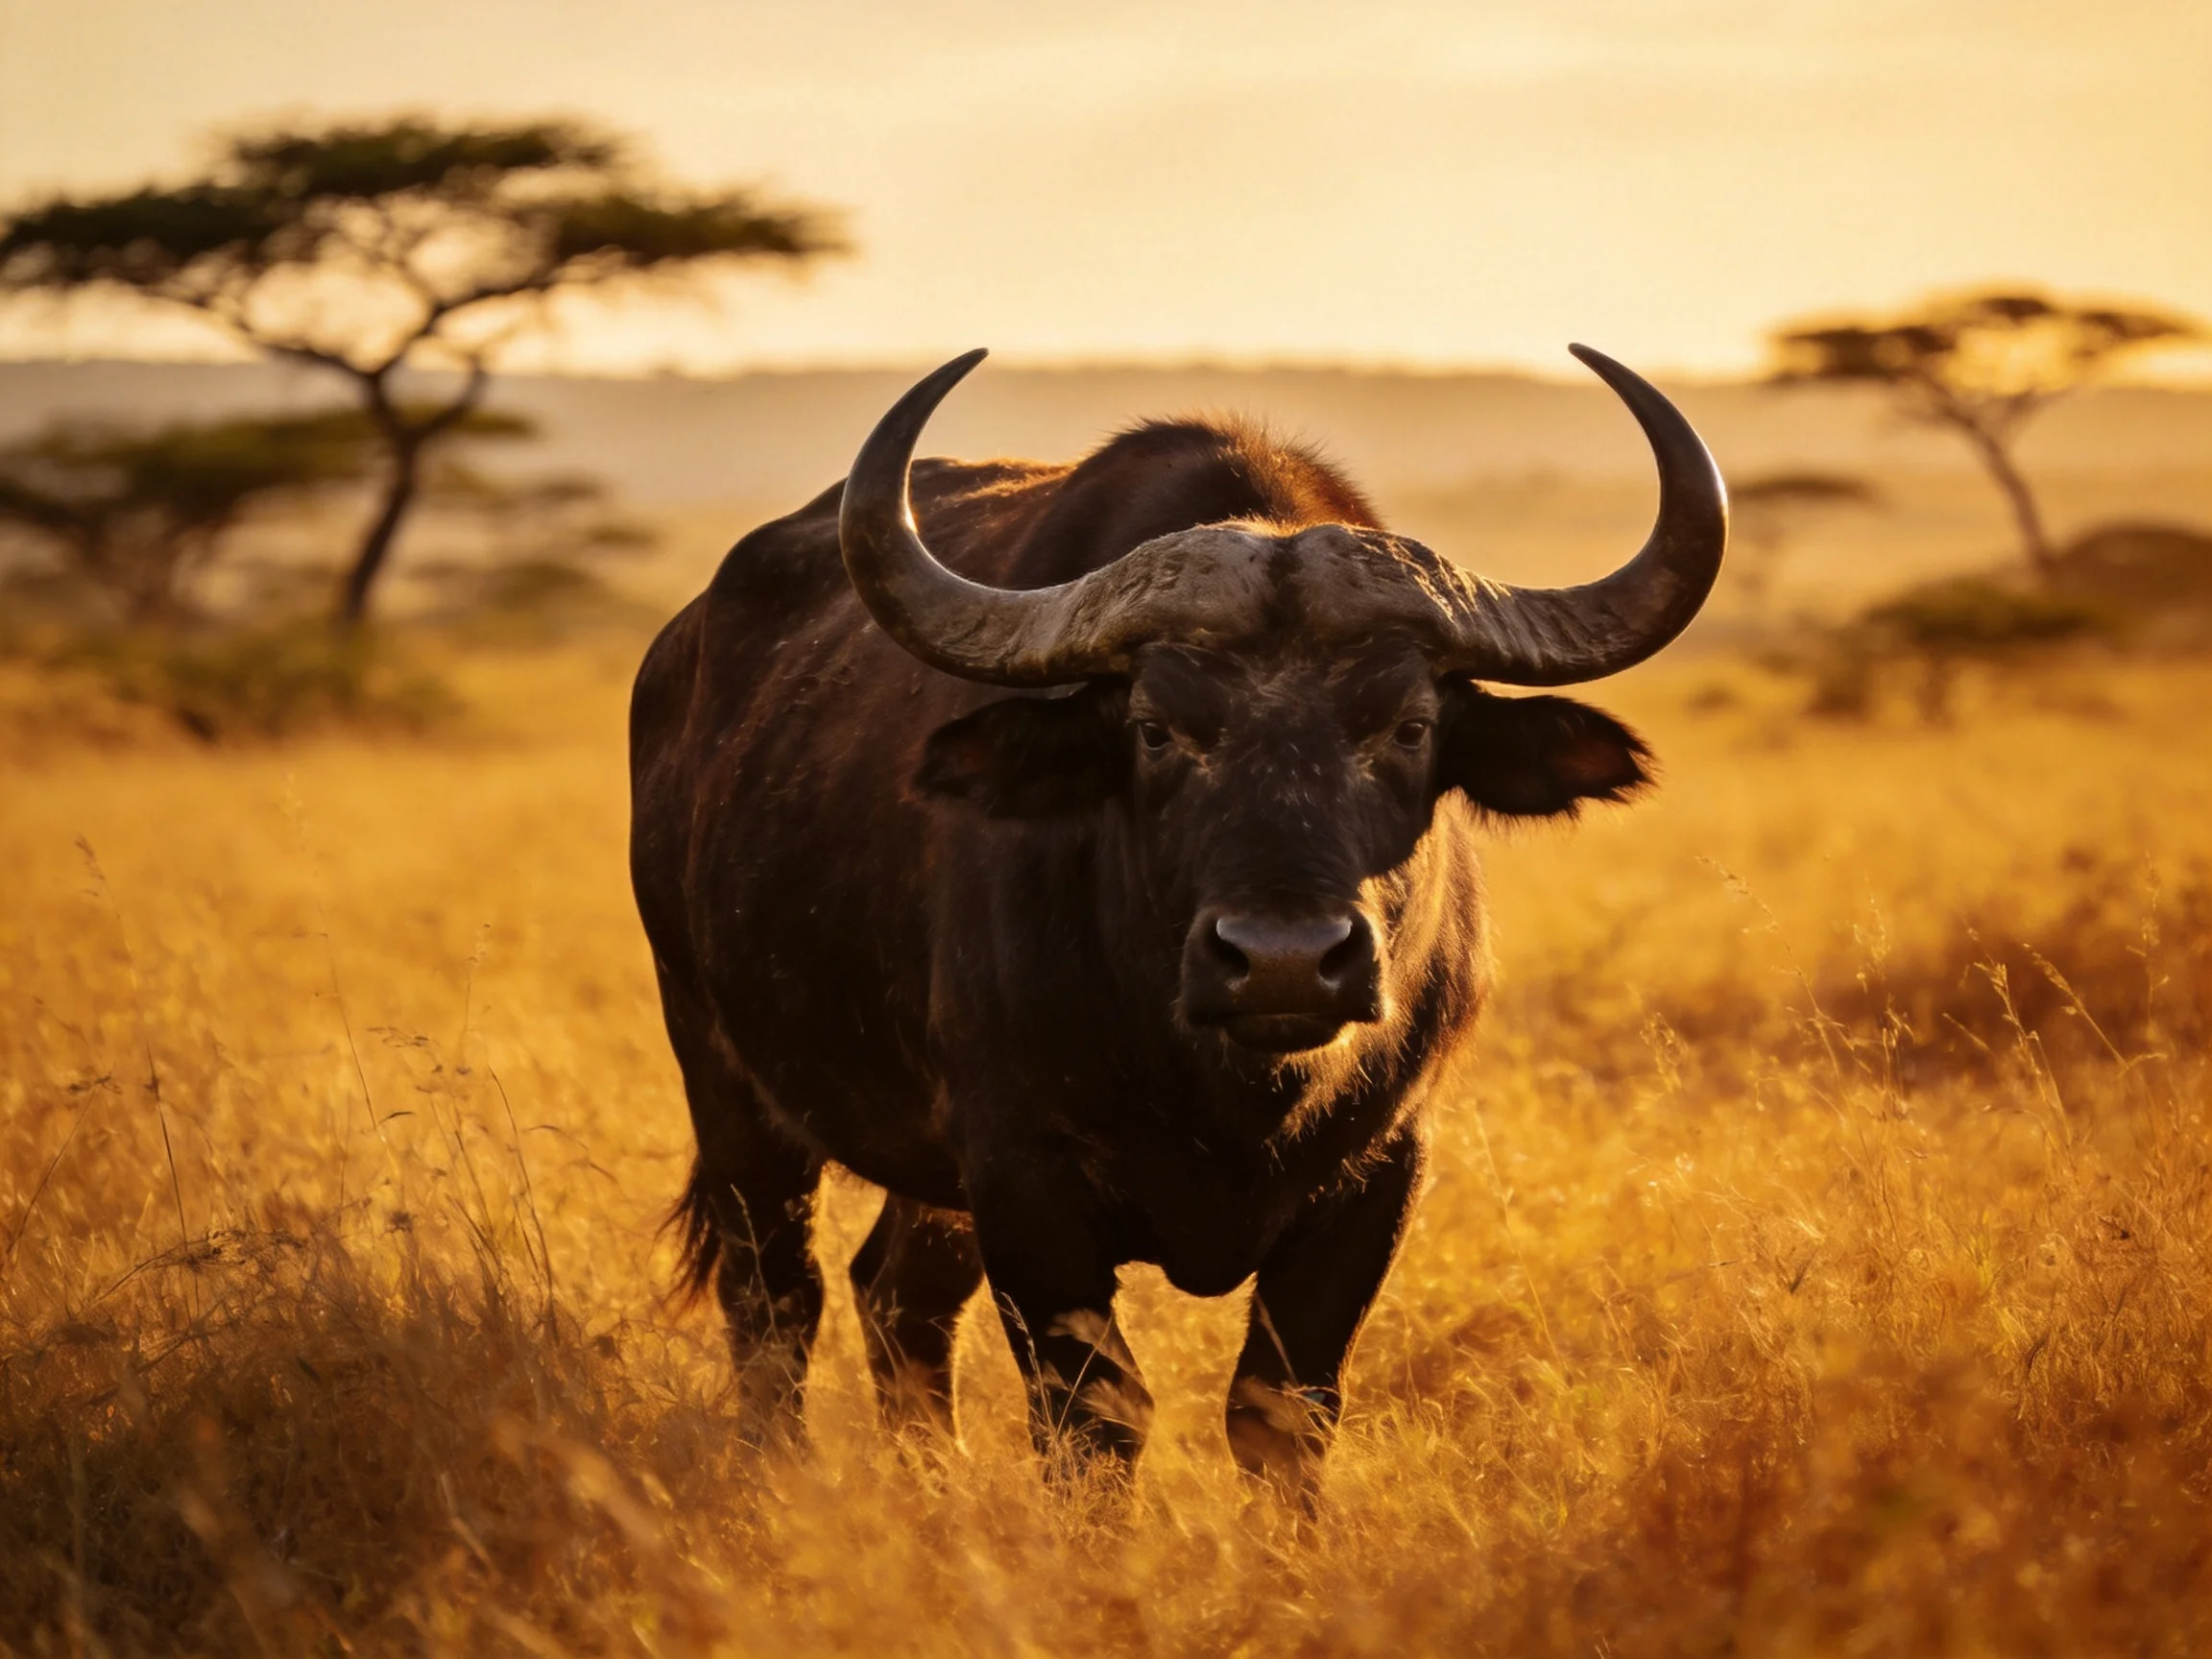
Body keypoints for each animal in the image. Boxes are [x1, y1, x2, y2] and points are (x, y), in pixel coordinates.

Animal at [629, 345, 1726, 1490]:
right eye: (1156, 729)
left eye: (1410, 726)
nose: (1285, 962)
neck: (1228, 1088)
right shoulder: (1025, 1181)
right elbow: (1094, 1423)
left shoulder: (1380, 1176)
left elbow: (1281, 1415)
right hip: (724, 1077)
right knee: (775, 1294)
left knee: (899, 1296)